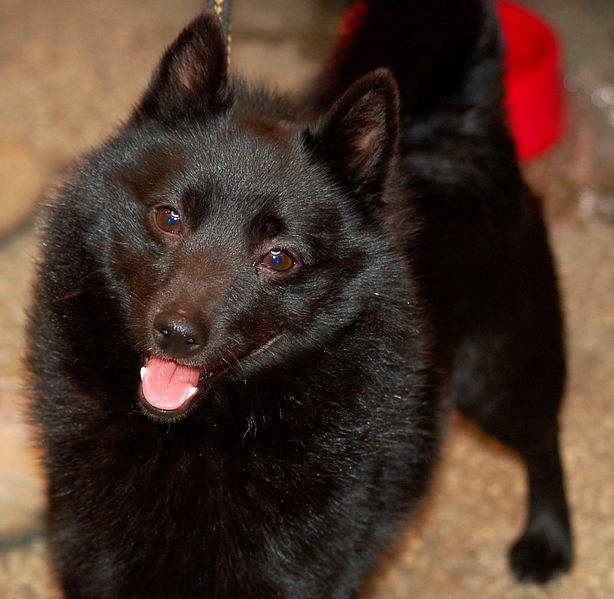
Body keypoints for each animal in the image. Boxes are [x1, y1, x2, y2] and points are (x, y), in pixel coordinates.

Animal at [28, 0, 576, 596]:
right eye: (168, 217)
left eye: (279, 259)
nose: (174, 334)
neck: (208, 430)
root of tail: (464, 119)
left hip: (500, 373)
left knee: (544, 439)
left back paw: (548, 539)